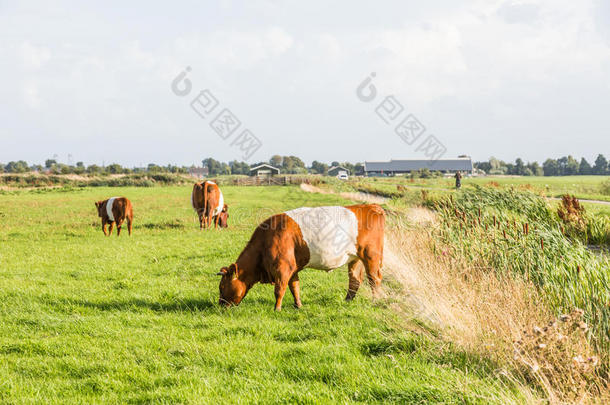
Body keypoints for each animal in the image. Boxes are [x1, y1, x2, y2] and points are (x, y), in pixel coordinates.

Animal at [216, 204, 382, 310]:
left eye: (222, 287)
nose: (220, 305)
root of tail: (371, 206)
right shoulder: (292, 268)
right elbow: (294, 287)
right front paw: (298, 305)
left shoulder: (283, 268)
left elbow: (279, 289)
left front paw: (277, 309)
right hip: (354, 258)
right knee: (354, 279)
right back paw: (347, 301)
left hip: (371, 256)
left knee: (374, 279)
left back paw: (375, 302)